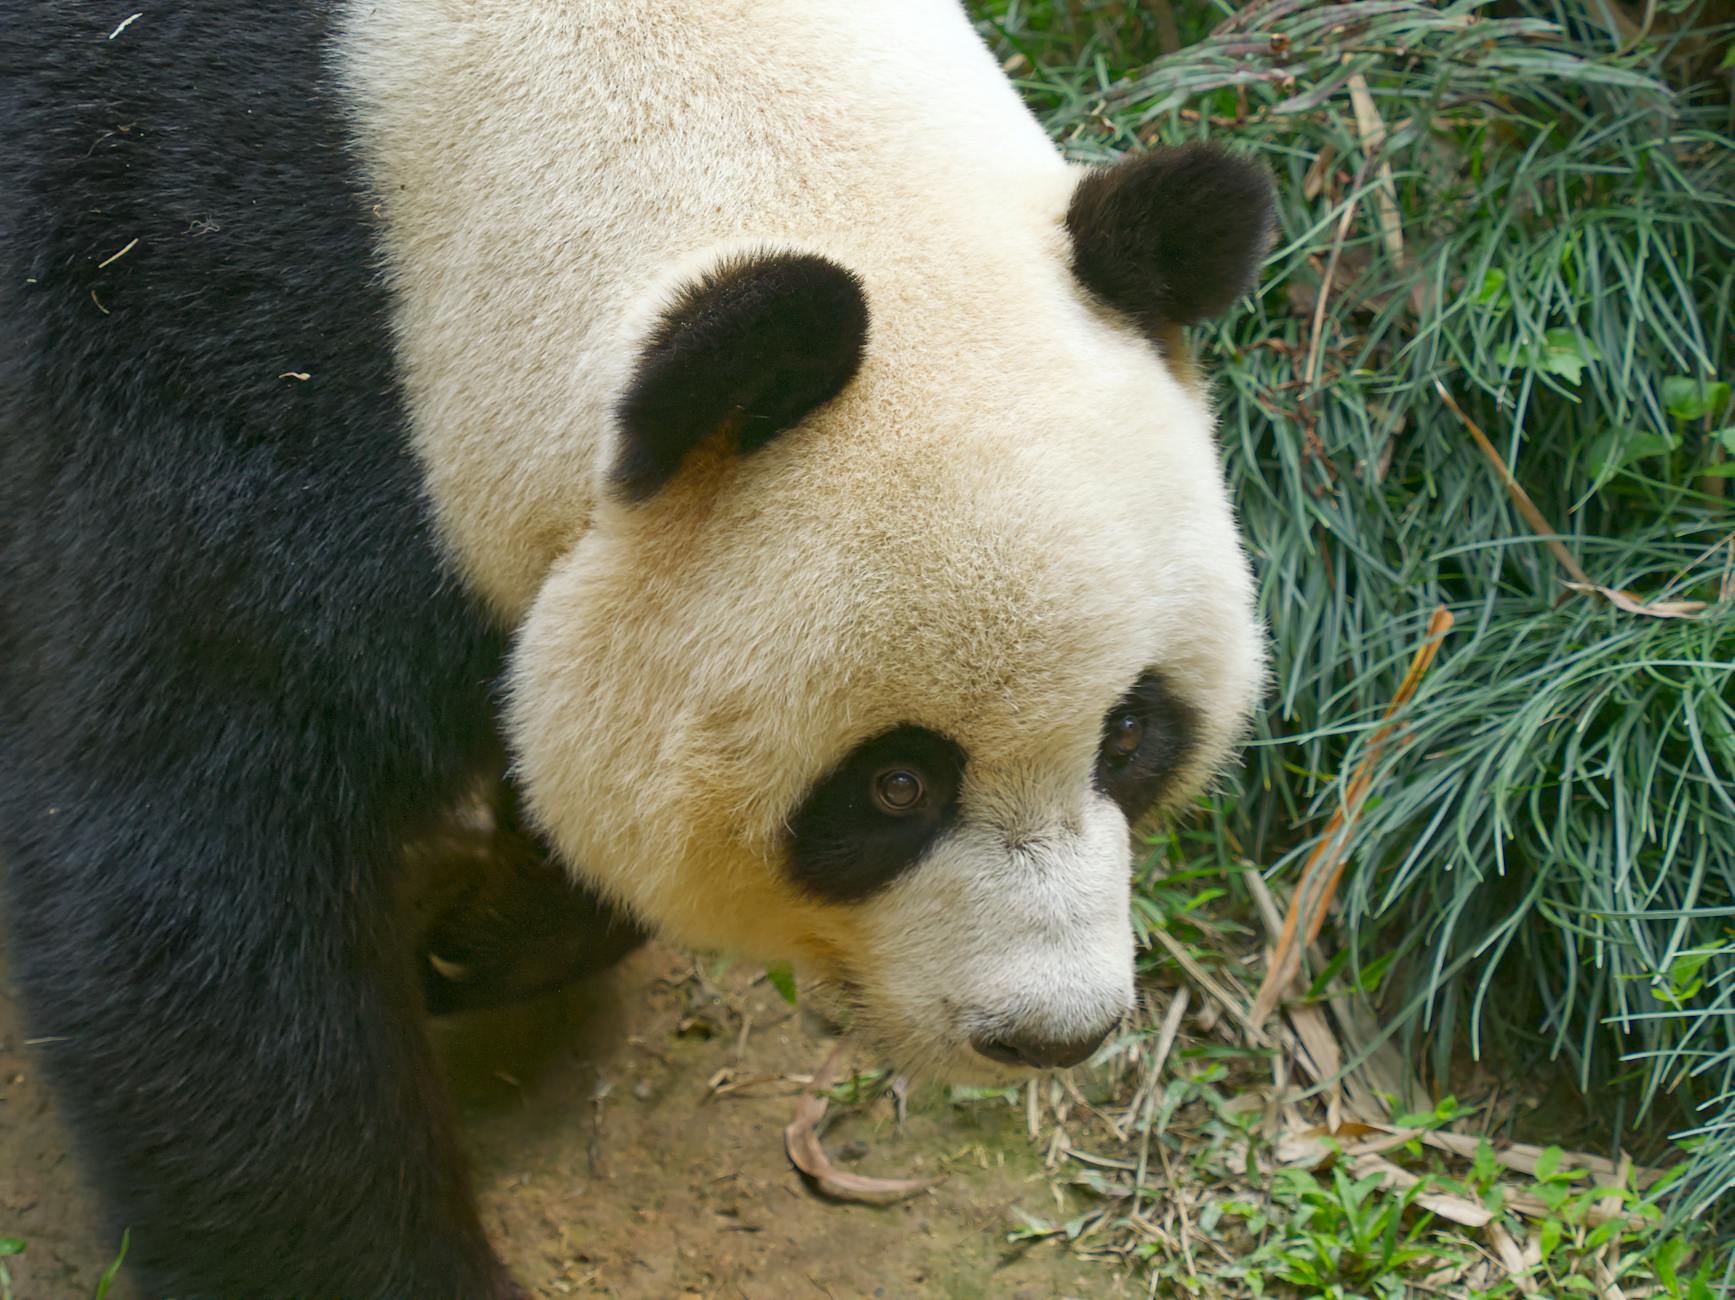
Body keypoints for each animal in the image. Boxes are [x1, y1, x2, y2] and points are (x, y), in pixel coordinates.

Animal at [0, 1, 1271, 1295]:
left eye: (1130, 736)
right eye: (894, 785)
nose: (1050, 1033)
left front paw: (479, 941)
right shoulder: (199, 327)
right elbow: (193, 870)